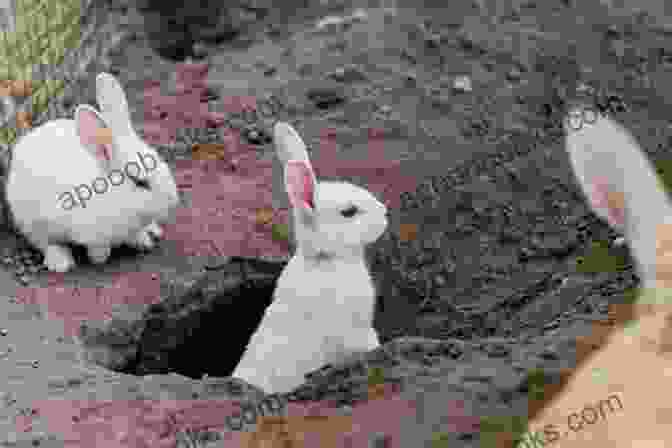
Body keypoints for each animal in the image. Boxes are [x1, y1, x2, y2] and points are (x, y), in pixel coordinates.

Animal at [4, 72, 181, 272]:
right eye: (140, 182)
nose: (174, 201)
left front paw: (144, 241)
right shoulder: (90, 234)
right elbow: (97, 248)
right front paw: (100, 259)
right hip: (30, 221)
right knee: (47, 243)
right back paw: (61, 263)